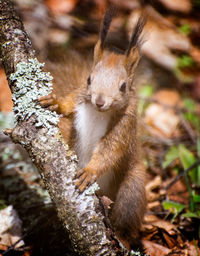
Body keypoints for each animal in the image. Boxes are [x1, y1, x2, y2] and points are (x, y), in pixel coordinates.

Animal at [39, 10, 146, 250]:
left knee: (126, 216)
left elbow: (111, 149)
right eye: (89, 79)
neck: (99, 113)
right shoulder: (79, 98)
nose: (99, 101)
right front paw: (55, 102)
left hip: (131, 189)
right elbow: (68, 105)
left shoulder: (124, 126)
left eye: (123, 86)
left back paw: (122, 239)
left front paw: (89, 171)